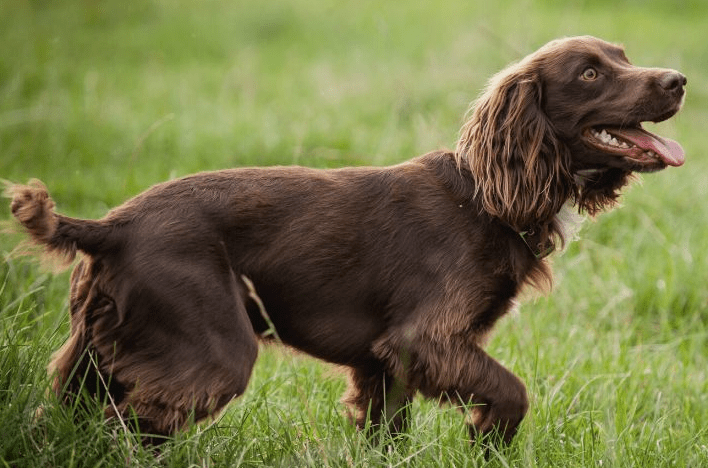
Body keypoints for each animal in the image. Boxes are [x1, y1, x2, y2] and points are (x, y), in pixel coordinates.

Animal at [8, 34, 684, 444]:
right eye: (591, 73)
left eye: (623, 56)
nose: (679, 79)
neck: (484, 196)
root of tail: (110, 227)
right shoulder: (425, 340)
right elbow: (513, 392)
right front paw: (486, 437)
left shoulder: (385, 363)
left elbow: (389, 433)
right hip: (211, 352)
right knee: (123, 428)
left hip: (94, 354)